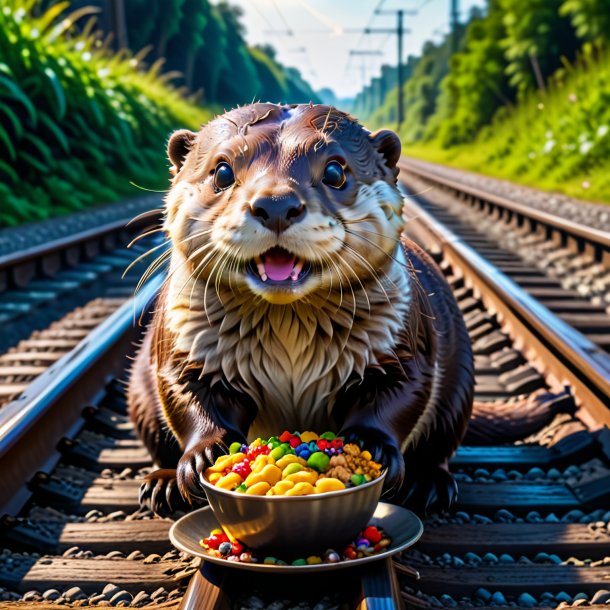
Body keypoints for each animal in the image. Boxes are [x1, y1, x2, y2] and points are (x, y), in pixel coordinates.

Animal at [126, 103, 472, 512]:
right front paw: (204, 456)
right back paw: (161, 485)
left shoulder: (402, 343)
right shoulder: (187, 346)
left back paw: (428, 483)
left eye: (335, 171)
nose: (276, 204)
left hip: (458, 388)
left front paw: (372, 447)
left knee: (439, 441)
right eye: (222, 171)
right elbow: (187, 393)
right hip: (139, 393)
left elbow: (400, 392)